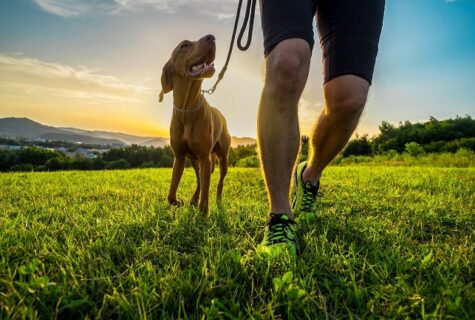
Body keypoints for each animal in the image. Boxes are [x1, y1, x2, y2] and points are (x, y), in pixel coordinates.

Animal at [159, 34, 231, 212]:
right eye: (184, 45)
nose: (211, 37)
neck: (187, 108)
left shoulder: (205, 156)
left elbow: (206, 193)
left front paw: (203, 212)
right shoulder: (179, 157)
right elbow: (171, 194)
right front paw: (178, 201)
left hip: (222, 158)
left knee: (218, 182)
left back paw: (218, 200)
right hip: (194, 160)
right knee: (200, 180)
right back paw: (193, 199)